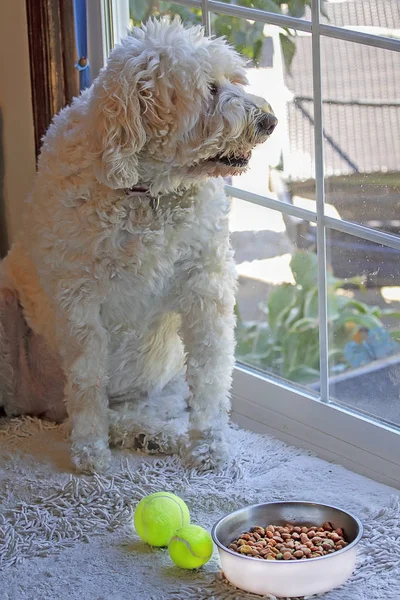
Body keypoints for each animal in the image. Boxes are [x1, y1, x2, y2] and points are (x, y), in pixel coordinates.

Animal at [0, 18, 276, 474]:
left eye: (234, 79)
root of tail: (44, 407)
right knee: (73, 408)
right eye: (210, 89)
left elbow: (211, 374)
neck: (146, 193)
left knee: (130, 411)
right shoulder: (78, 301)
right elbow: (87, 381)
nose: (269, 120)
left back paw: (155, 435)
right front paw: (90, 451)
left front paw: (209, 445)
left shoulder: (206, 286)